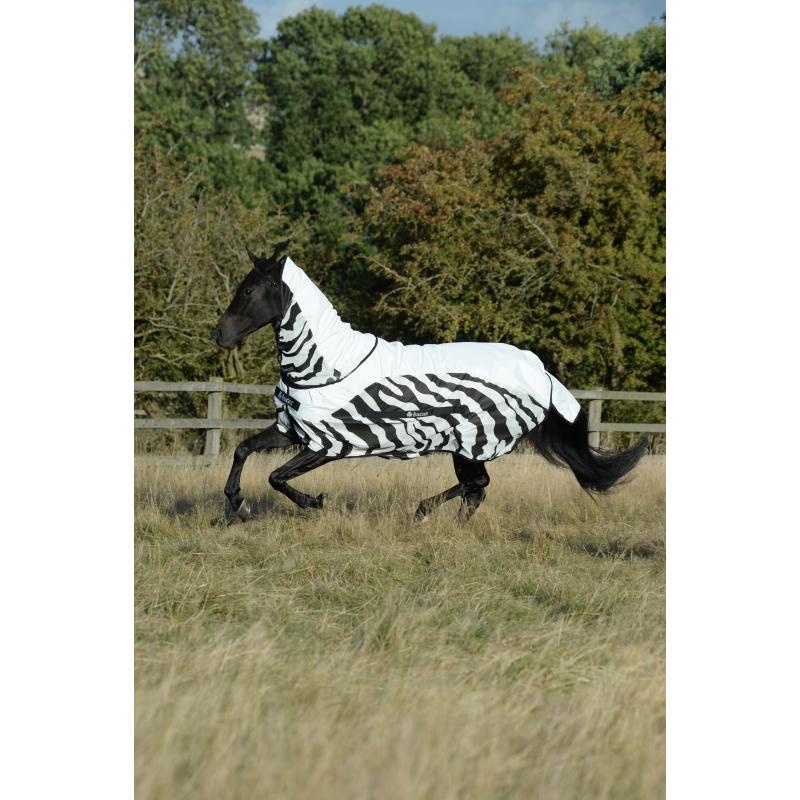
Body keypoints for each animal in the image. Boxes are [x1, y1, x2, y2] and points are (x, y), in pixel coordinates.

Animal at [212, 247, 647, 522]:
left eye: (249, 289)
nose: (219, 335)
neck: (324, 366)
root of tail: (540, 372)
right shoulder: (292, 431)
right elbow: (243, 449)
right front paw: (237, 504)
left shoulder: (329, 444)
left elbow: (276, 476)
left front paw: (314, 503)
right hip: (466, 447)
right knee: (476, 491)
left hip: (470, 443)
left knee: (477, 485)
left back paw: (421, 513)